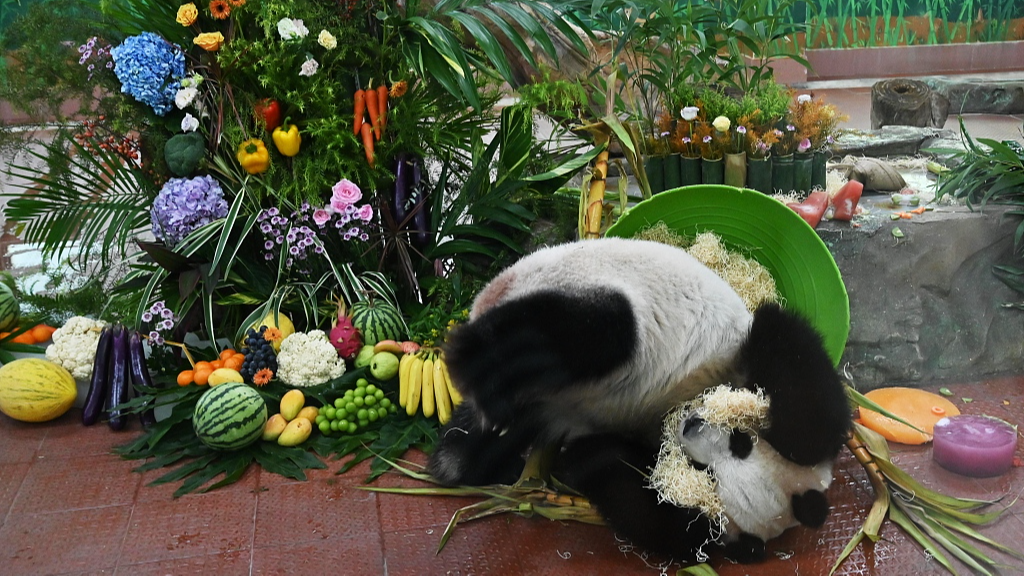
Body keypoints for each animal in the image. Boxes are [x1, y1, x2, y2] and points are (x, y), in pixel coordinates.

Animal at [428, 235, 851, 557]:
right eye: (740, 440)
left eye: (703, 472)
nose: (693, 426)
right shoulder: (745, 355)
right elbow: (810, 413)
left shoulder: (685, 516)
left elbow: (630, 495)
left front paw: (580, 459)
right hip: (598, 290)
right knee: (597, 330)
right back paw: (471, 358)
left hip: (542, 400)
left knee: (473, 443)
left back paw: (478, 448)